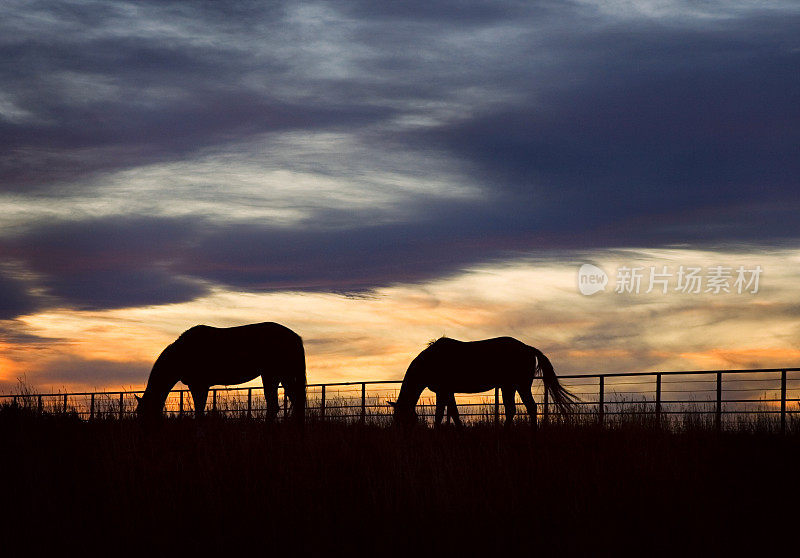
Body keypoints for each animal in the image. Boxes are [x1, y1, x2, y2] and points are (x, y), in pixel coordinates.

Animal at [136, 322, 304, 426]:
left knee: (277, 404)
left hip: (272, 374)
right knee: (292, 402)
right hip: (282, 375)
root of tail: (294, 337)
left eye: (143, 413)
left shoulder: (199, 385)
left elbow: (199, 410)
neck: (183, 353)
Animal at [390, 336, 580, 428]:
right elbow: (453, 413)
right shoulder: (447, 392)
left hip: (517, 385)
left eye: (401, 418)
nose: (398, 432)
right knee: (518, 409)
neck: (431, 361)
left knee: (526, 408)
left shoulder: (443, 391)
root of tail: (527, 348)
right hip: (511, 386)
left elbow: (440, 414)